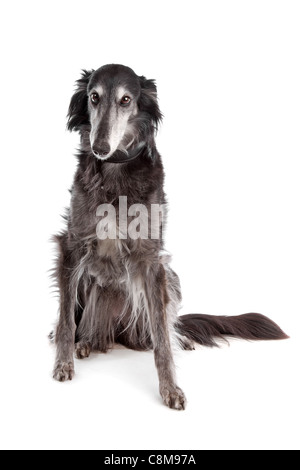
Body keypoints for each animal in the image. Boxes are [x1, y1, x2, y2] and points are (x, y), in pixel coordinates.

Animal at [52, 64, 288, 410]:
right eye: (93, 97)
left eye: (126, 99)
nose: (100, 147)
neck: (115, 173)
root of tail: (122, 335)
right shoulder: (71, 246)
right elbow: (66, 320)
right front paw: (64, 361)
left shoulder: (153, 261)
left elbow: (162, 338)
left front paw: (170, 388)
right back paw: (86, 344)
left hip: (171, 278)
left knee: (165, 327)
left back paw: (182, 339)